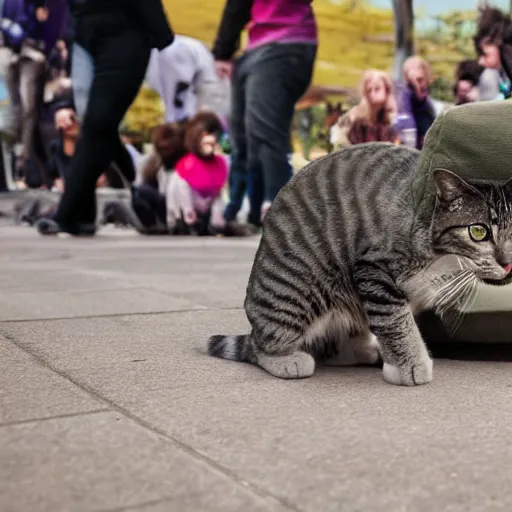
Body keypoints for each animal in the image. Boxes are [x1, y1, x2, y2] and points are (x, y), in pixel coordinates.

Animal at [202, 112, 512, 386]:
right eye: (478, 231)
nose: (507, 262)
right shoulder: (373, 269)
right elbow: (396, 321)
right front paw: (411, 364)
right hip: (300, 293)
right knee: (261, 346)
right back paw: (287, 359)